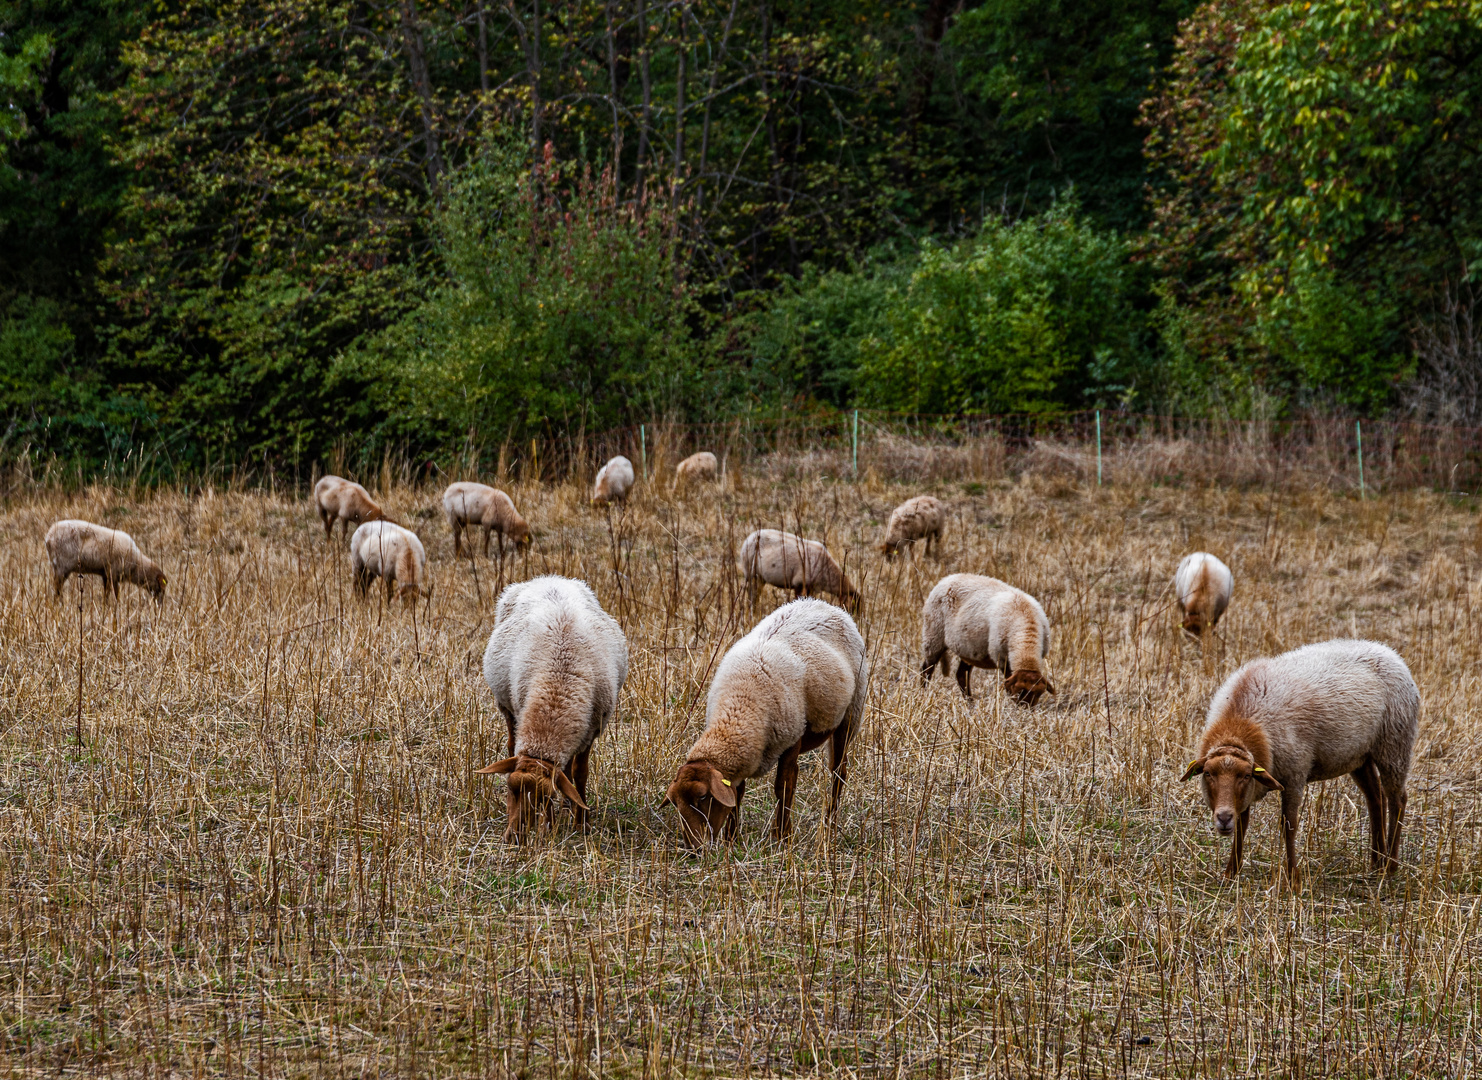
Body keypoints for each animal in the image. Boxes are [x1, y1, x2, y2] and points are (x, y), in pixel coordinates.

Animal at [477, 577, 628, 835]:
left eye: (545, 796)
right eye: (510, 788)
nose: (515, 836)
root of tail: (549, 578)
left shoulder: (590, 731)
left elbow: (579, 774)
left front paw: (581, 822)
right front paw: (548, 825)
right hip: (506, 706)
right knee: (511, 744)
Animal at [663, 592, 865, 847]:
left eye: (703, 797)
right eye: (675, 803)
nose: (693, 849)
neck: (739, 706)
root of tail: (823, 604)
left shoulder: (792, 738)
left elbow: (784, 788)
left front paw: (783, 838)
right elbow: (737, 794)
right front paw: (732, 840)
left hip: (850, 716)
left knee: (839, 772)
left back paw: (830, 826)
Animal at [912, 571, 1055, 708]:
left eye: (1039, 693)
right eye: (1020, 691)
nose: (1027, 709)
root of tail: (948, 578)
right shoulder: (1002, 658)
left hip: (969, 648)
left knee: (961, 675)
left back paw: (970, 703)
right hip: (933, 635)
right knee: (926, 670)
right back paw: (923, 695)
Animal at [1173, 637, 1416, 882]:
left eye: (1245, 775)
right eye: (1208, 773)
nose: (1223, 818)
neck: (1241, 725)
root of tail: (1386, 650)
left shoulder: (1294, 776)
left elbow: (1288, 827)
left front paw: (1293, 878)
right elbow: (1242, 826)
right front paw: (1231, 872)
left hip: (1394, 745)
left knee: (1397, 800)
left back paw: (1390, 866)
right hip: (1359, 756)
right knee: (1376, 798)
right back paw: (1377, 862)